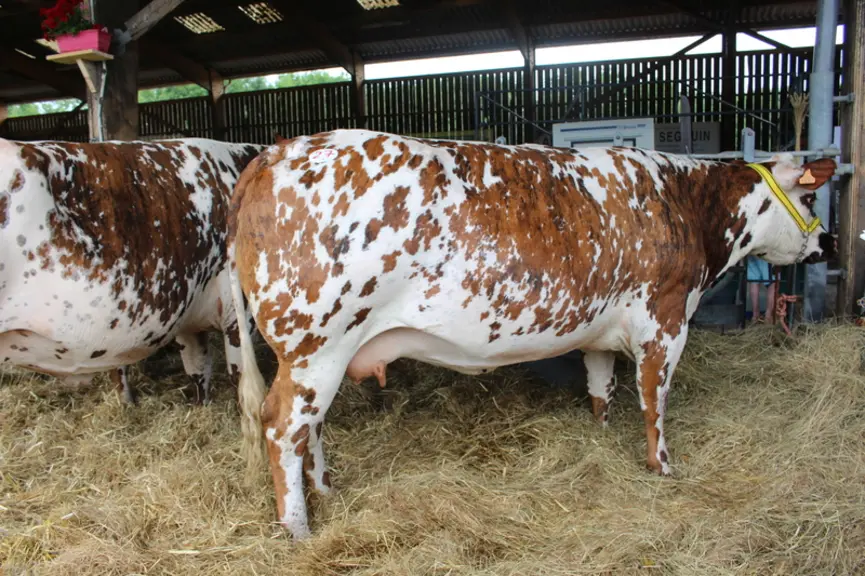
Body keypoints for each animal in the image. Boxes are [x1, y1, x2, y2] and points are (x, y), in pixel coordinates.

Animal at [226, 129, 837, 539]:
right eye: (810, 197)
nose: (826, 244)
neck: (682, 202)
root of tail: (274, 152)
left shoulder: (600, 332)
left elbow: (600, 389)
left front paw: (598, 436)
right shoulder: (665, 321)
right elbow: (655, 402)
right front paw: (663, 467)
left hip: (320, 354)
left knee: (309, 428)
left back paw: (326, 489)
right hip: (316, 346)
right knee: (283, 426)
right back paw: (298, 527)